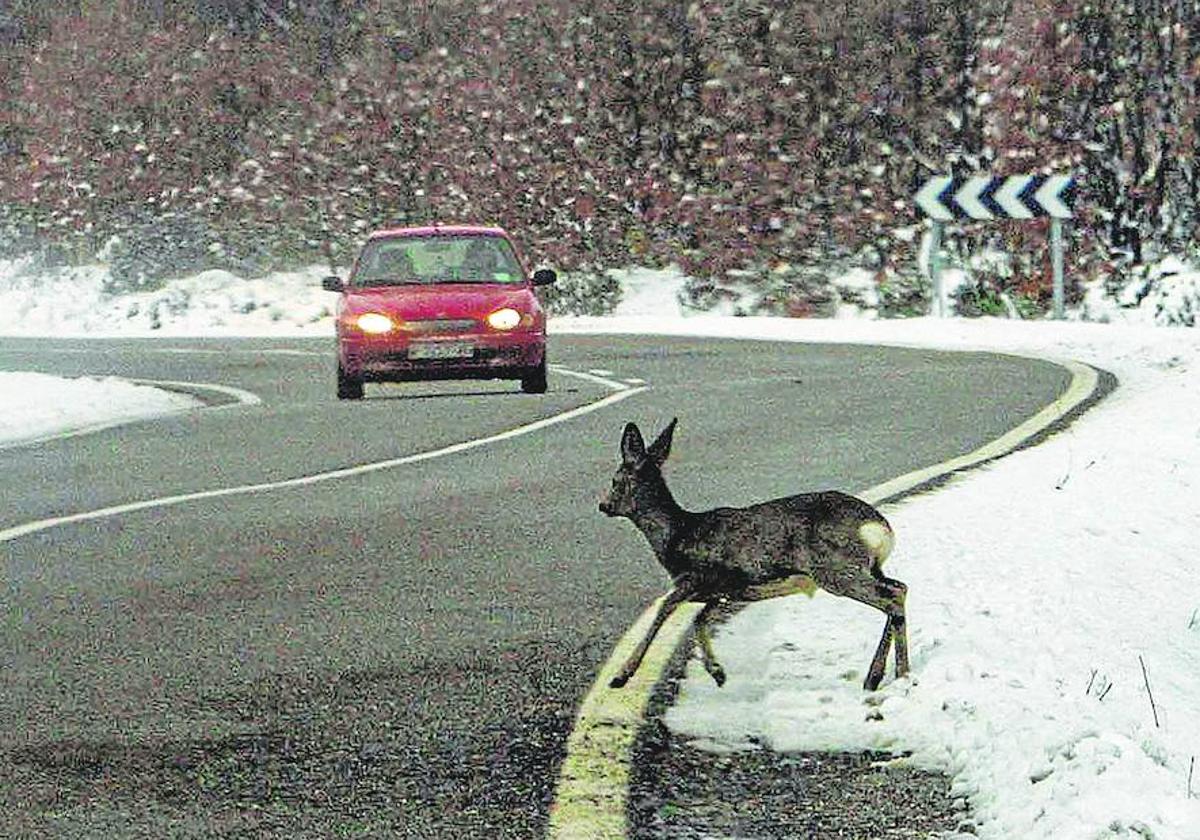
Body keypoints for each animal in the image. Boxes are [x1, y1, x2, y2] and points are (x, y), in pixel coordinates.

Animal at [600, 417, 907, 691]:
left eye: (616, 481)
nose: (603, 505)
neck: (678, 534)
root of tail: (879, 526)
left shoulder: (700, 577)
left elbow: (664, 608)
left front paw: (621, 675)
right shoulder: (723, 590)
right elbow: (699, 620)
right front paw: (717, 673)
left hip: (836, 569)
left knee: (891, 597)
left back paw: (884, 676)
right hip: (867, 568)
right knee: (900, 588)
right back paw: (892, 675)